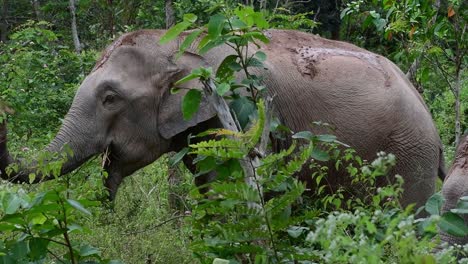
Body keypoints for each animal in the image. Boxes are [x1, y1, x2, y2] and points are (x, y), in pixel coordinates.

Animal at [0, 28, 446, 206]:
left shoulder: (242, 105)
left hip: (409, 156)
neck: (179, 43)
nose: (5, 112)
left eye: (111, 98)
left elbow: (225, 183)